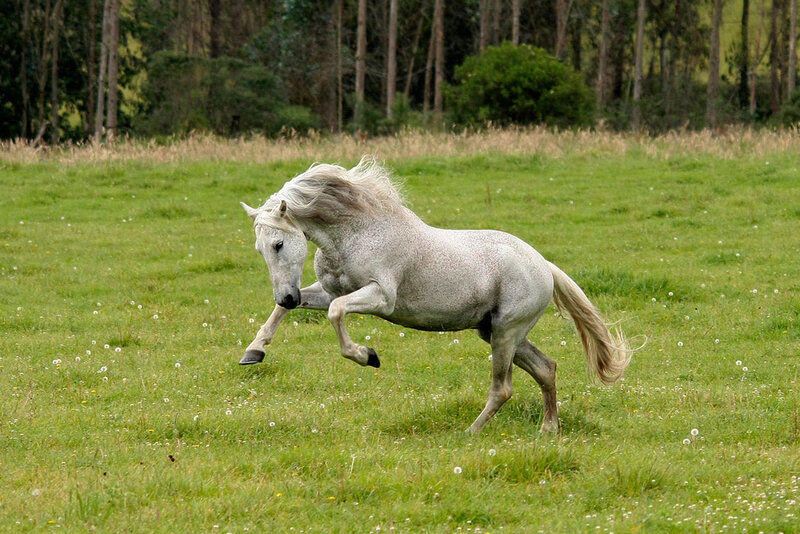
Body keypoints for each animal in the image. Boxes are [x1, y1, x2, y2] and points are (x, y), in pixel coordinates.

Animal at [239, 156, 632, 434]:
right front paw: (253, 352)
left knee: (503, 389)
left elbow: (337, 313)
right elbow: (285, 313)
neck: (357, 232)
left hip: (506, 333)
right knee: (546, 369)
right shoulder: (328, 290)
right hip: (497, 331)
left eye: (278, 244)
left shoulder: (381, 298)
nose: (285, 296)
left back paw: (470, 432)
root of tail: (543, 265)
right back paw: (549, 428)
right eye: (260, 249)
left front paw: (367, 356)